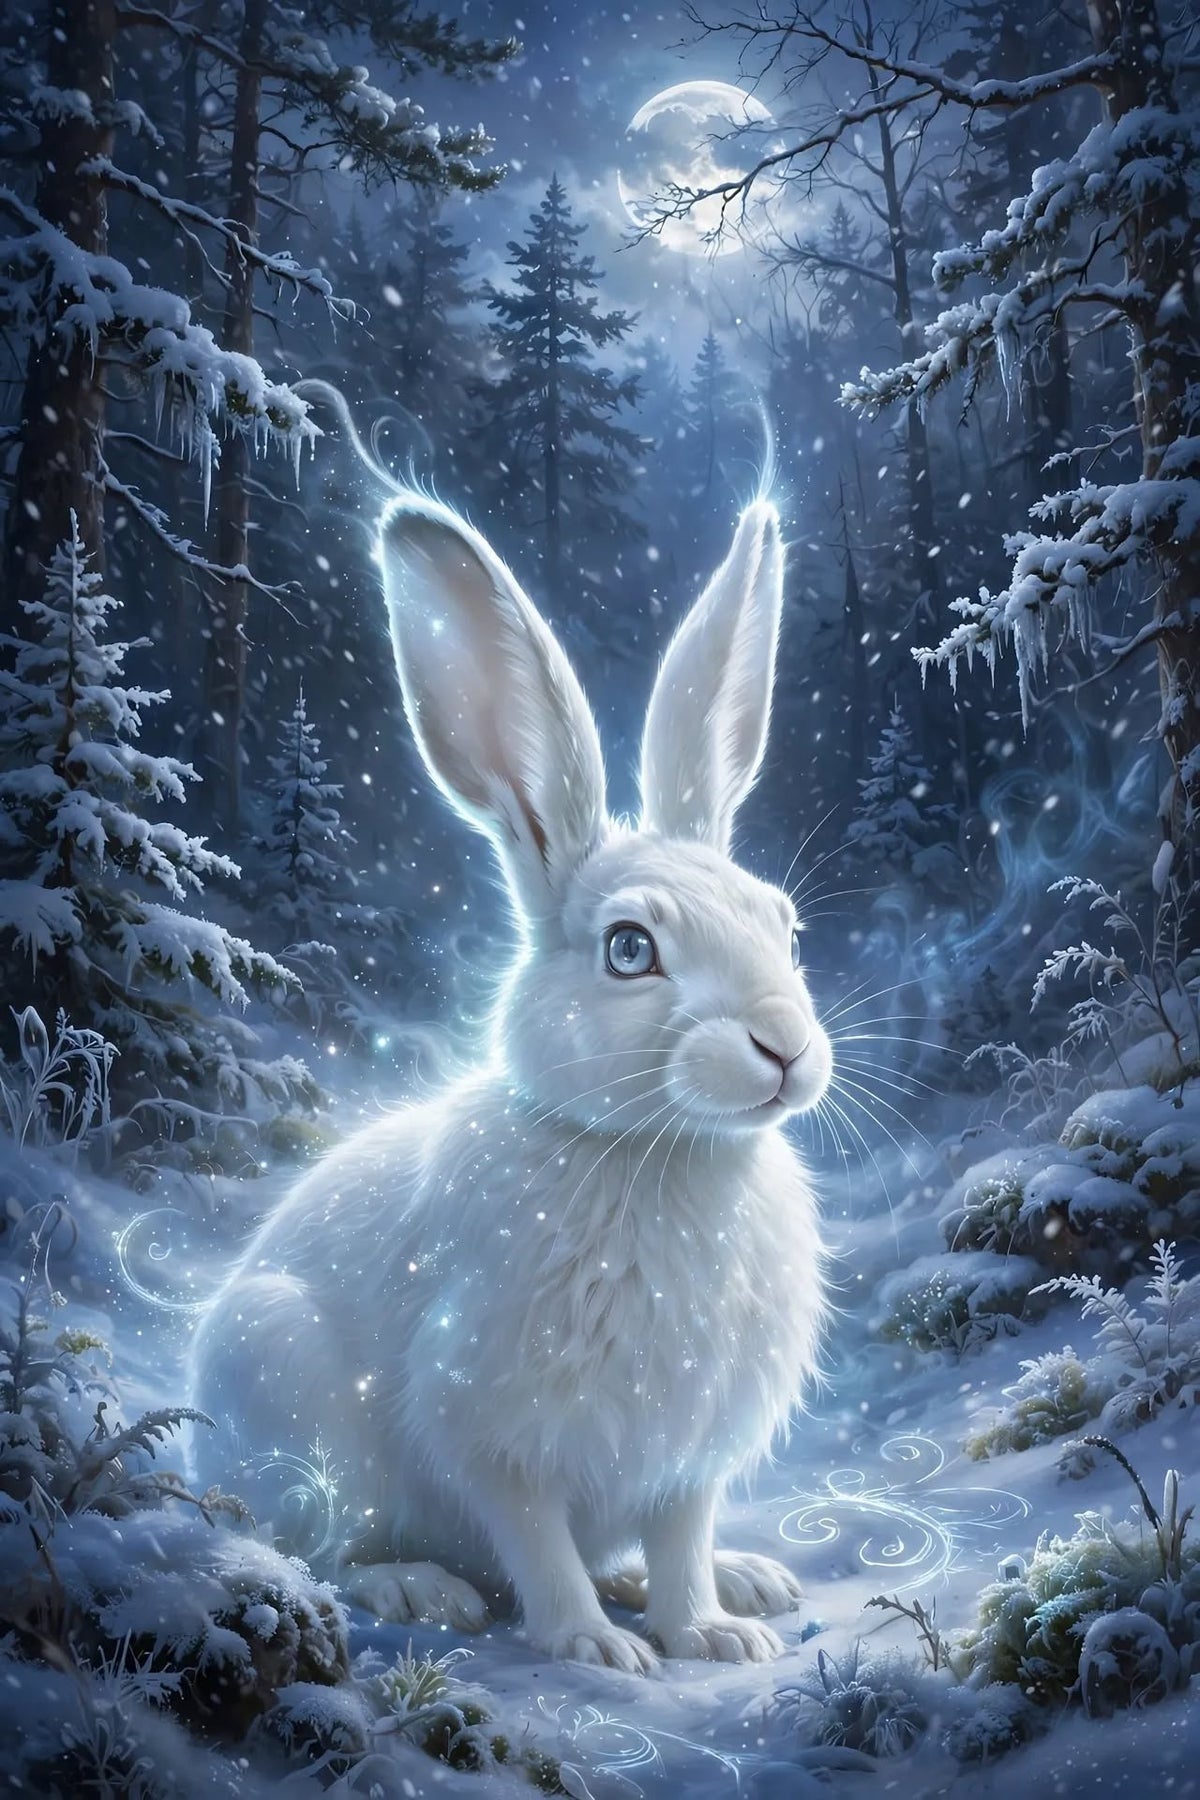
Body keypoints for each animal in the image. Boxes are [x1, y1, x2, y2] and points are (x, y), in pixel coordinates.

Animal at [189, 488, 832, 1673]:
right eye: (630, 950)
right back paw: (420, 1590)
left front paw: (710, 1633)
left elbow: (680, 1538)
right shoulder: (494, 1433)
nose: (785, 1048)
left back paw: (741, 1582)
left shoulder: (688, 1459)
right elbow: (534, 1539)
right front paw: (595, 1648)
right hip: (287, 1397)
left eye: (785, 926)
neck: (652, 1149)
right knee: (318, 1544)